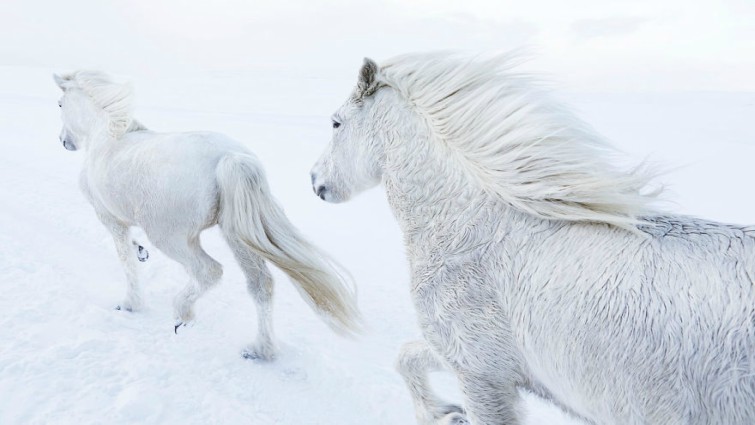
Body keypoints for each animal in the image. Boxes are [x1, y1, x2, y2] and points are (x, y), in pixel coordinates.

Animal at [54, 71, 360, 360]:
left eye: (59, 103)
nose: (63, 141)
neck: (106, 138)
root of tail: (231, 158)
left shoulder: (110, 219)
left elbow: (125, 261)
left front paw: (130, 304)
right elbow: (133, 251)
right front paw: (141, 251)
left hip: (171, 237)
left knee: (209, 271)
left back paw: (182, 314)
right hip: (237, 235)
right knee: (261, 285)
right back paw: (260, 350)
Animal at [310, 53, 755, 425]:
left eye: (335, 123)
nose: (315, 181)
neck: (471, 231)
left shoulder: (481, 373)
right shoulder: (481, 364)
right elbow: (408, 356)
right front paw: (442, 412)